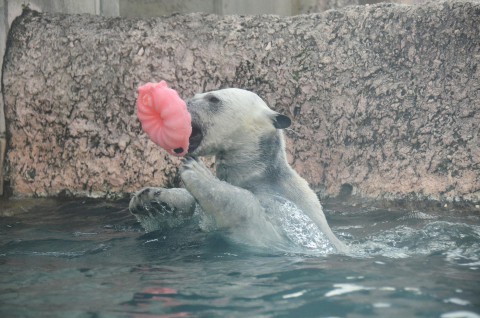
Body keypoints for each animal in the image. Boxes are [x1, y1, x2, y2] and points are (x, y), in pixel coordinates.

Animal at [128, 88, 344, 252]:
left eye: (213, 99)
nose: (181, 103)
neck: (260, 176)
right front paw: (152, 202)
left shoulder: (291, 220)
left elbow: (257, 220)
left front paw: (199, 173)